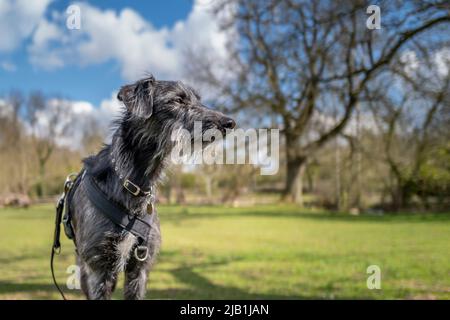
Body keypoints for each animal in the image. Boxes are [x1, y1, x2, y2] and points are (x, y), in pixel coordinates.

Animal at [68, 75, 236, 300]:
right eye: (178, 100)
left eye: (198, 100)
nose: (230, 123)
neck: (134, 182)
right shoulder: (98, 270)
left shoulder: (140, 267)